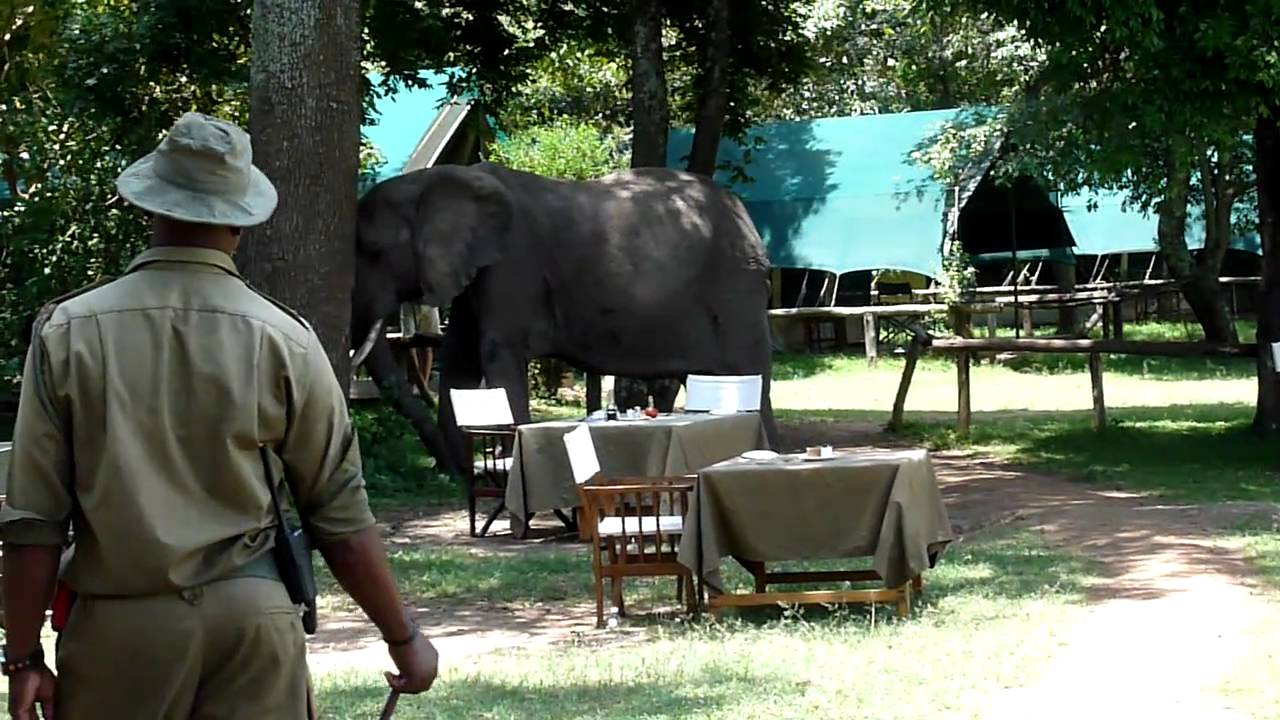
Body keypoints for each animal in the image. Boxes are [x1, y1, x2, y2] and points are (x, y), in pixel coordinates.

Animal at [350, 162, 778, 476]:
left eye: (372, 251)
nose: (446, 470)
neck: (431, 179)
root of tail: (745, 215)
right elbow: (460, 360)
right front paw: (463, 476)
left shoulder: (511, 266)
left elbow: (497, 354)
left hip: (735, 285)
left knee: (750, 370)